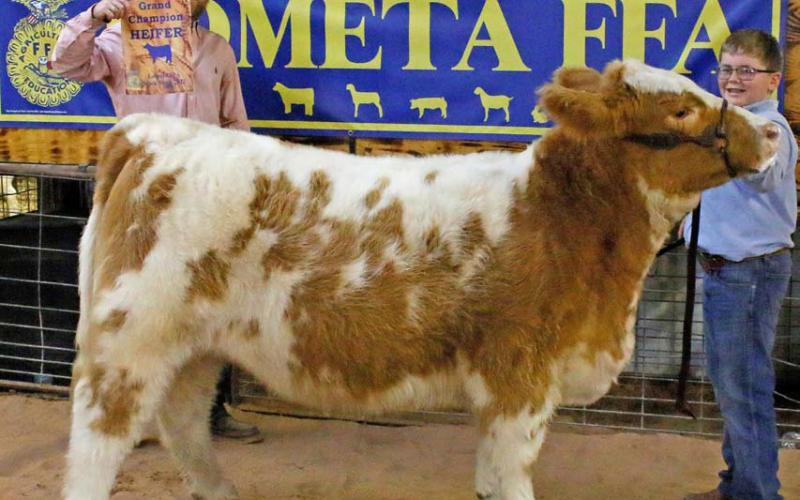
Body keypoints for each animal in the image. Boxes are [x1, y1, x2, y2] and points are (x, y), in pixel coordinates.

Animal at [63, 59, 780, 500]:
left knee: (184, 422)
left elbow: (491, 476)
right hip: (130, 340)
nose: (773, 131)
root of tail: (150, 131)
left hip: (194, 345)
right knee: (99, 443)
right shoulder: (518, 375)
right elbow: (512, 473)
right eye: (681, 110)